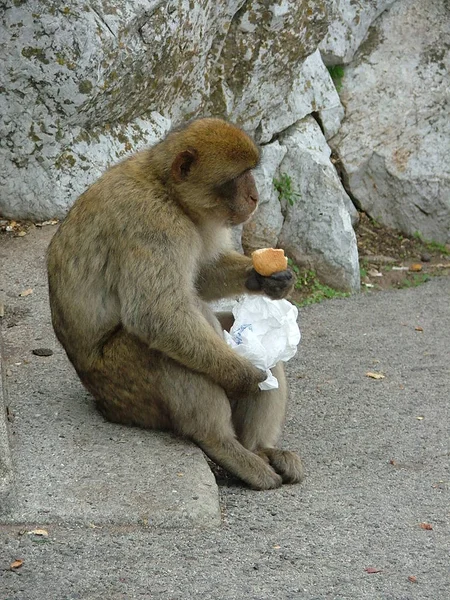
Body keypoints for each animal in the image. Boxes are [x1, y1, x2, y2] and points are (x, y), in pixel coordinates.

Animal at [47, 116, 304, 488]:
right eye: (237, 177)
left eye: (249, 173)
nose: (255, 196)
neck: (167, 190)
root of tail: (105, 405)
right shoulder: (154, 222)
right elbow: (156, 313)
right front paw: (245, 376)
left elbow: (202, 276)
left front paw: (268, 278)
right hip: (121, 384)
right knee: (167, 347)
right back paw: (224, 444)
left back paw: (261, 449)